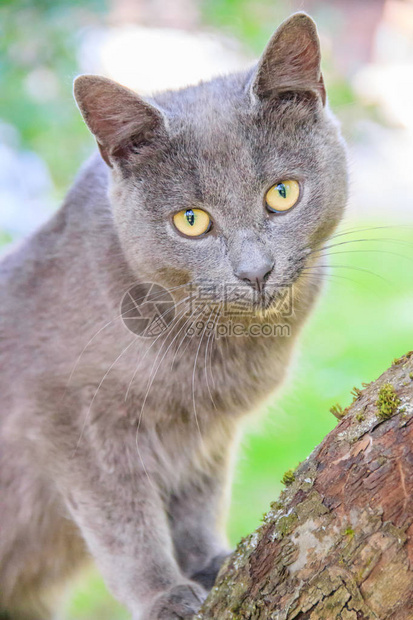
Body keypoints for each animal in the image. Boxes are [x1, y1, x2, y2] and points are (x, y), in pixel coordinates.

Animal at [0, 13, 346, 620]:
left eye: (282, 193)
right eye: (191, 221)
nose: (255, 271)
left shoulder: (206, 432)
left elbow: (196, 501)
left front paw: (210, 563)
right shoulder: (68, 422)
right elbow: (123, 521)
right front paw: (163, 592)